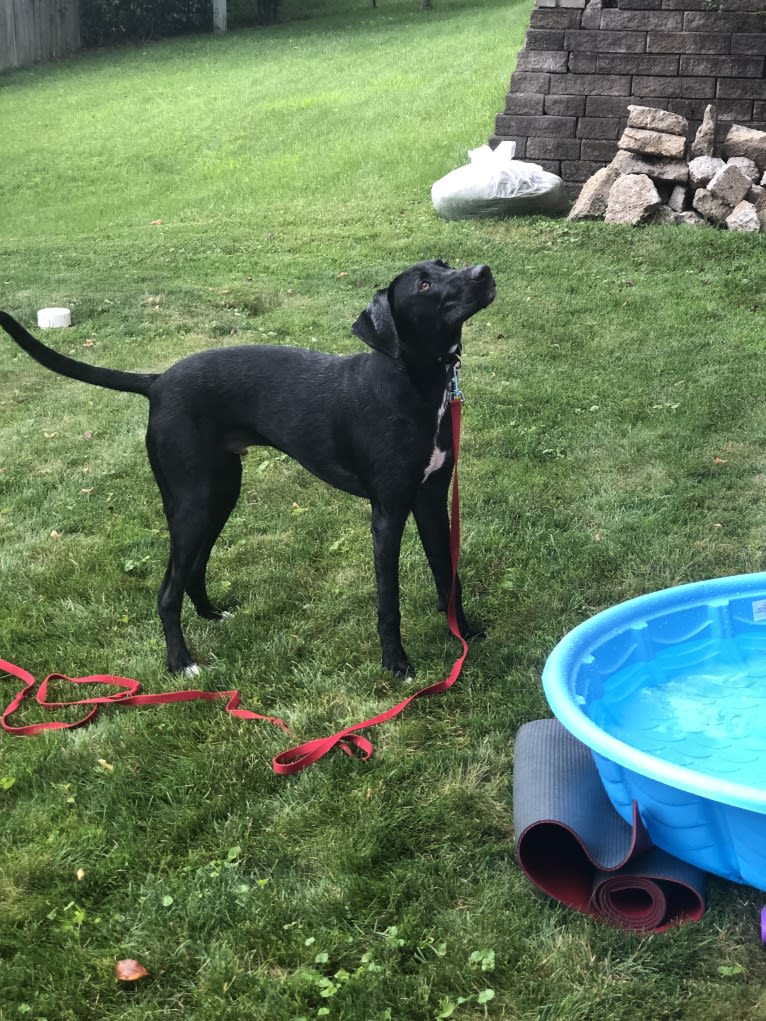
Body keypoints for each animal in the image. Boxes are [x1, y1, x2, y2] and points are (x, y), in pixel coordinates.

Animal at [0, 261, 498, 677]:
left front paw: (464, 632)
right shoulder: (388, 513)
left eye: (445, 263)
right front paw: (396, 663)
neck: (411, 382)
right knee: (167, 591)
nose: (483, 271)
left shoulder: (430, 501)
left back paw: (211, 614)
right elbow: (388, 599)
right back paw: (181, 663)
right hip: (193, 502)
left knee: (193, 569)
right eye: (425, 284)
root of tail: (156, 382)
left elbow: (448, 575)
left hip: (218, 493)